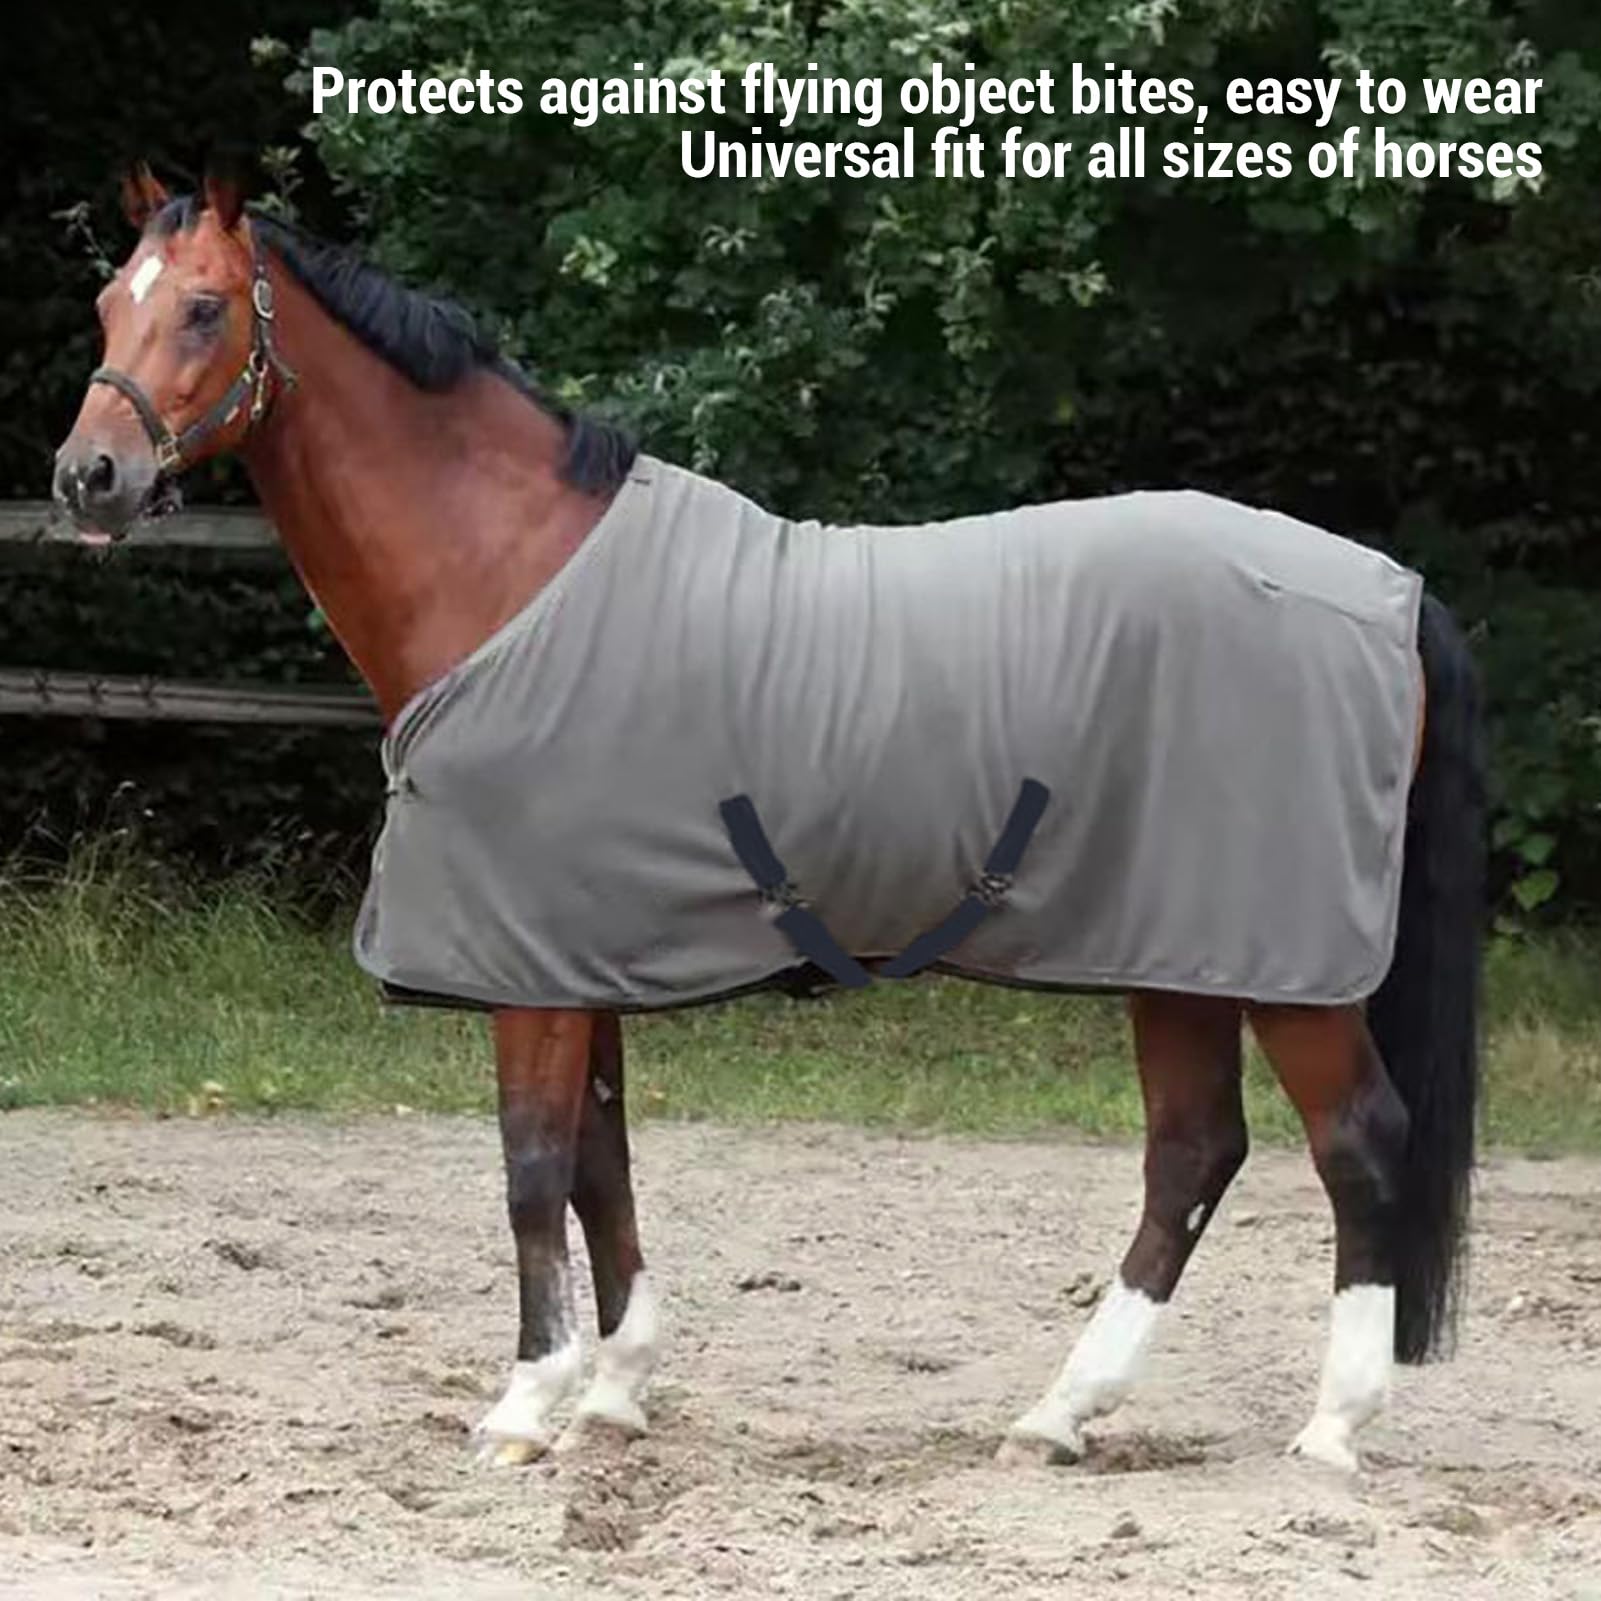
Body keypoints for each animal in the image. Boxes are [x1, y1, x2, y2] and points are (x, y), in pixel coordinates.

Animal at [52, 164, 1484, 1476]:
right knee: (1191, 1152)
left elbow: (531, 1163)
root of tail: (1390, 590)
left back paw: (1330, 1427)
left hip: (1283, 970)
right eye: (107, 302)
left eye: (202, 307)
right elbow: (600, 1160)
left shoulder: (530, 970)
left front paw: (525, 1404)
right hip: (1176, 954)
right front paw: (616, 1390)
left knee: (1355, 1142)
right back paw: (1058, 1413)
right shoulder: (576, 951)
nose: (87, 476)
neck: (509, 572)